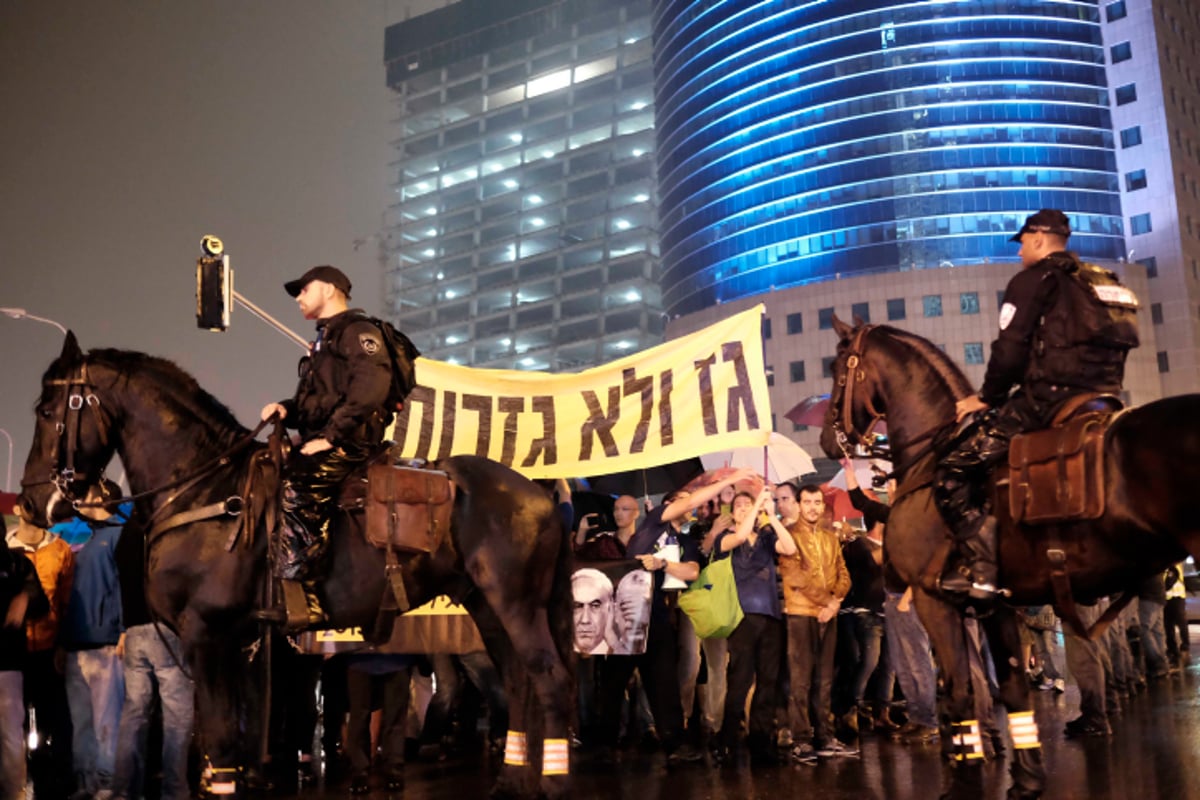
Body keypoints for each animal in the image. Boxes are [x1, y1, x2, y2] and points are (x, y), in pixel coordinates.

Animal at [19, 335, 576, 796]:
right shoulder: (239, 644)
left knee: (550, 680)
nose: (31, 502)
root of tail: (540, 491)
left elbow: (219, 736)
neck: (204, 491)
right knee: (518, 682)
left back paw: (553, 782)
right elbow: (229, 739)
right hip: (486, 606)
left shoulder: (207, 635)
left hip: (518, 605)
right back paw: (510, 780)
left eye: (46, 410)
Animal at [816, 316, 1200, 796]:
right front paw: (1026, 781)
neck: (934, 456)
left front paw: (963, 781)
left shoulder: (932, 600)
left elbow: (959, 693)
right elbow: (1013, 688)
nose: (827, 441)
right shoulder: (996, 604)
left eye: (837, 369)